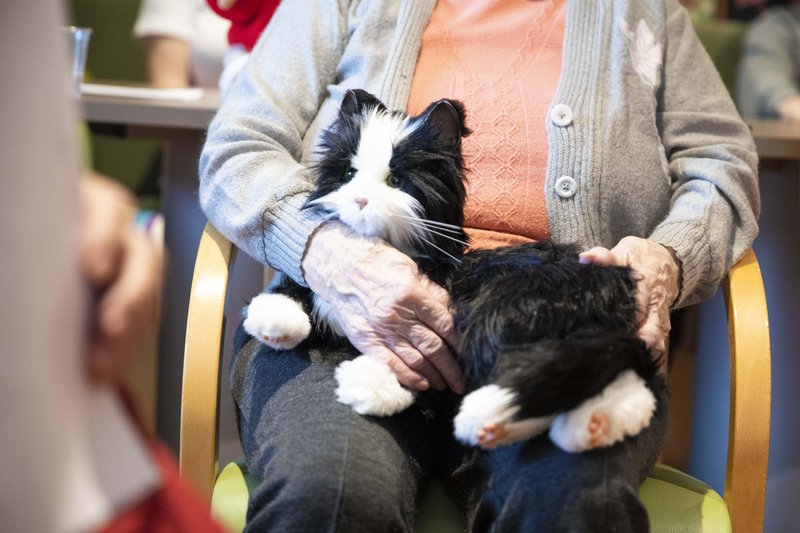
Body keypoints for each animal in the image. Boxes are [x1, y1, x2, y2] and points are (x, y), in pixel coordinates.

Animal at [241, 89, 664, 450]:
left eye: (395, 180)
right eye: (347, 174)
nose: (360, 200)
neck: (391, 247)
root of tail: (610, 287)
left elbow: (406, 359)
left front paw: (371, 384)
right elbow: (303, 291)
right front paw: (275, 320)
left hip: (500, 313)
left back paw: (488, 418)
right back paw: (594, 425)